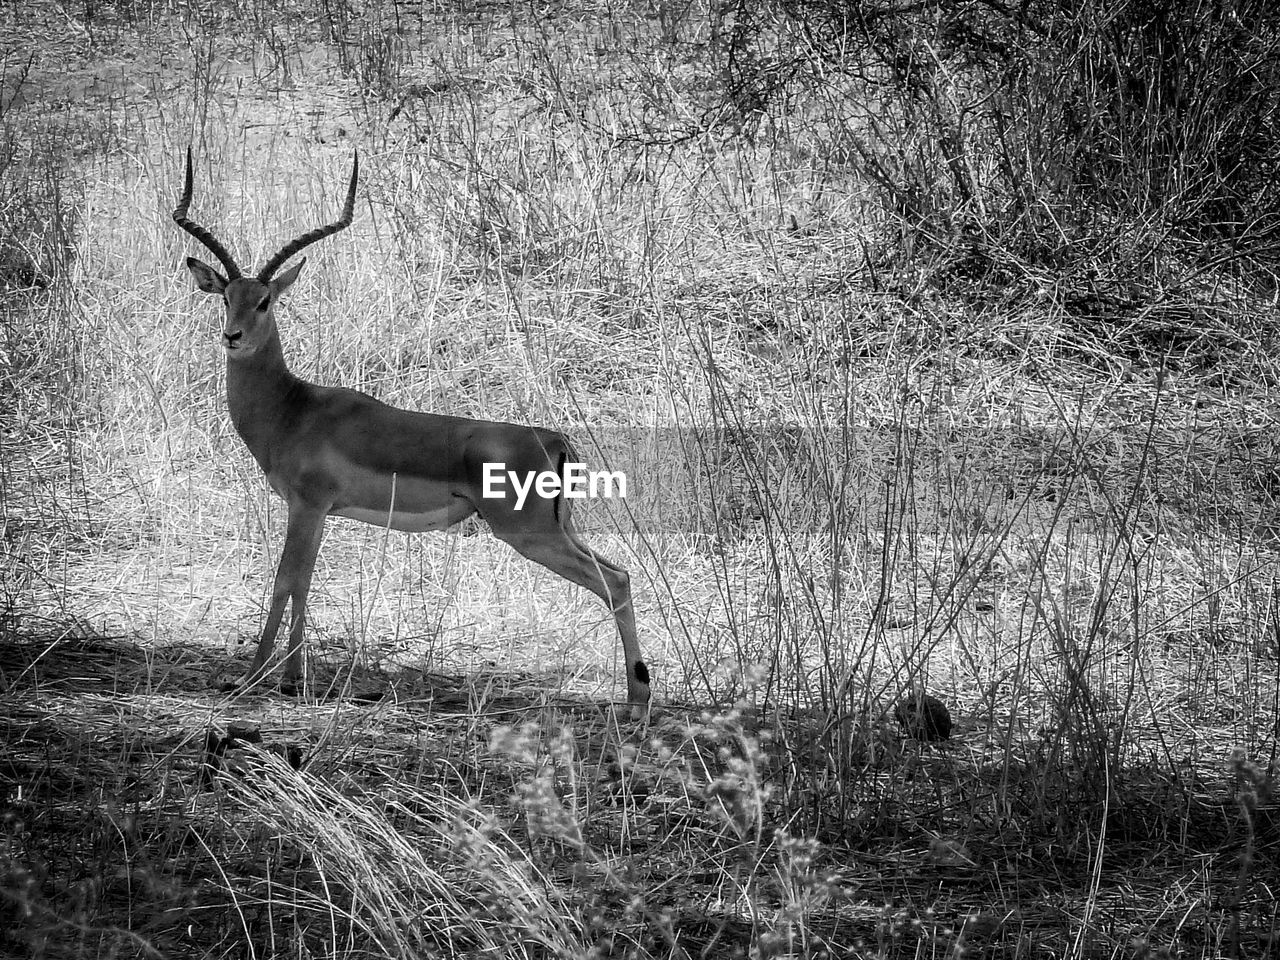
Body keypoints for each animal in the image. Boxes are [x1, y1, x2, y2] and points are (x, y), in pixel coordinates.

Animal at [172, 152, 650, 721]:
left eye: (265, 301)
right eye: (227, 296)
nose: (233, 336)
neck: (294, 408)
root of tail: (554, 440)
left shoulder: (307, 506)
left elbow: (287, 580)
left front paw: (257, 676)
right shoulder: (315, 511)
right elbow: (302, 583)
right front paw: (288, 676)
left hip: (529, 534)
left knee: (614, 581)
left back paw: (638, 701)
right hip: (558, 529)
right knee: (620, 574)